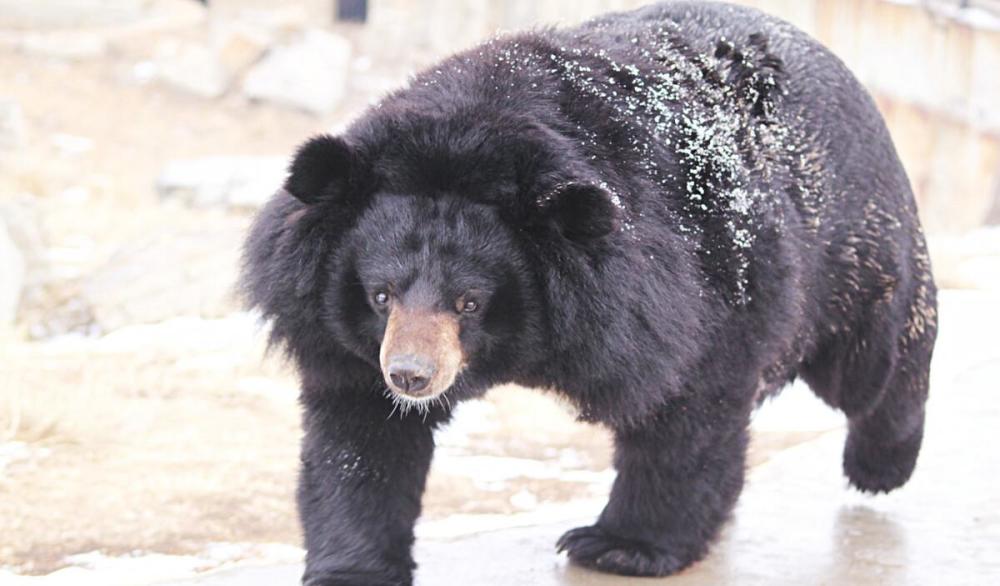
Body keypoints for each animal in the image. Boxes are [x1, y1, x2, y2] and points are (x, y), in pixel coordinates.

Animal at [240, 2, 936, 580]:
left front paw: (619, 547)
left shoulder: (691, 291)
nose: (411, 376)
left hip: (847, 242)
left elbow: (687, 407)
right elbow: (362, 437)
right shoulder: (337, 329)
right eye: (381, 294)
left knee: (874, 359)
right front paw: (351, 567)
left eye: (471, 302)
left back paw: (880, 467)